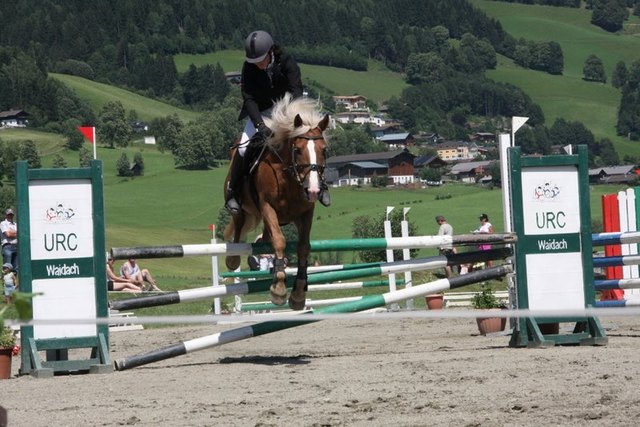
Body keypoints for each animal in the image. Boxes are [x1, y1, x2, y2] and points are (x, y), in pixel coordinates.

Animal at [223, 93, 329, 310]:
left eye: (324, 150)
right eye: (297, 150)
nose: (314, 190)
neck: (288, 178)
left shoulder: (306, 213)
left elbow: (303, 247)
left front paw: (298, 294)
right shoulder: (267, 207)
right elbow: (280, 240)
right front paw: (279, 289)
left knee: (265, 236)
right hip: (241, 206)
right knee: (238, 226)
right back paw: (233, 259)